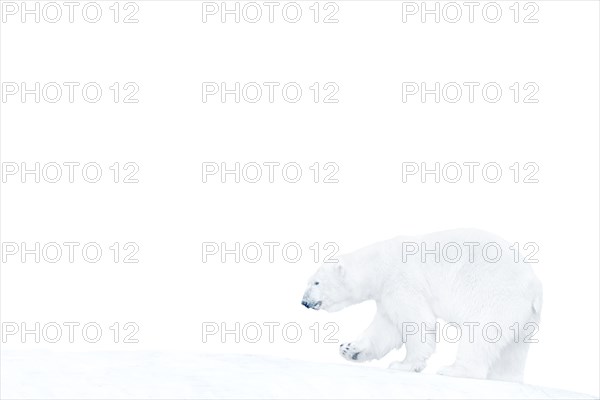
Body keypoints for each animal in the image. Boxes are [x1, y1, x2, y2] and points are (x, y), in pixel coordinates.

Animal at [302, 228, 540, 382]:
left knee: (480, 333)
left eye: (316, 282)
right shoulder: (386, 294)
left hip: (494, 295)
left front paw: (404, 364)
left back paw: (454, 370)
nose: (304, 301)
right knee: (513, 349)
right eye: (309, 281)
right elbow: (385, 329)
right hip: (523, 317)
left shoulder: (401, 281)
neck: (379, 263)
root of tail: (535, 287)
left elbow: (416, 322)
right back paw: (505, 377)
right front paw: (350, 349)